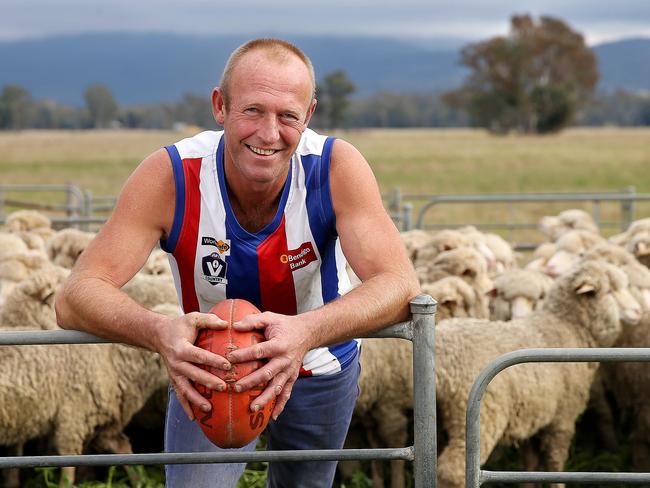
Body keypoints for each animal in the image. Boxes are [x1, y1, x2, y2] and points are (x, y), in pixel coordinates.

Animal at [432, 262, 640, 488]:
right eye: (610, 291)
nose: (638, 311)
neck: (567, 326)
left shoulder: (532, 417)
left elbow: (530, 463)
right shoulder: (562, 417)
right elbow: (555, 462)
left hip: (441, 422)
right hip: (478, 416)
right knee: (452, 471)